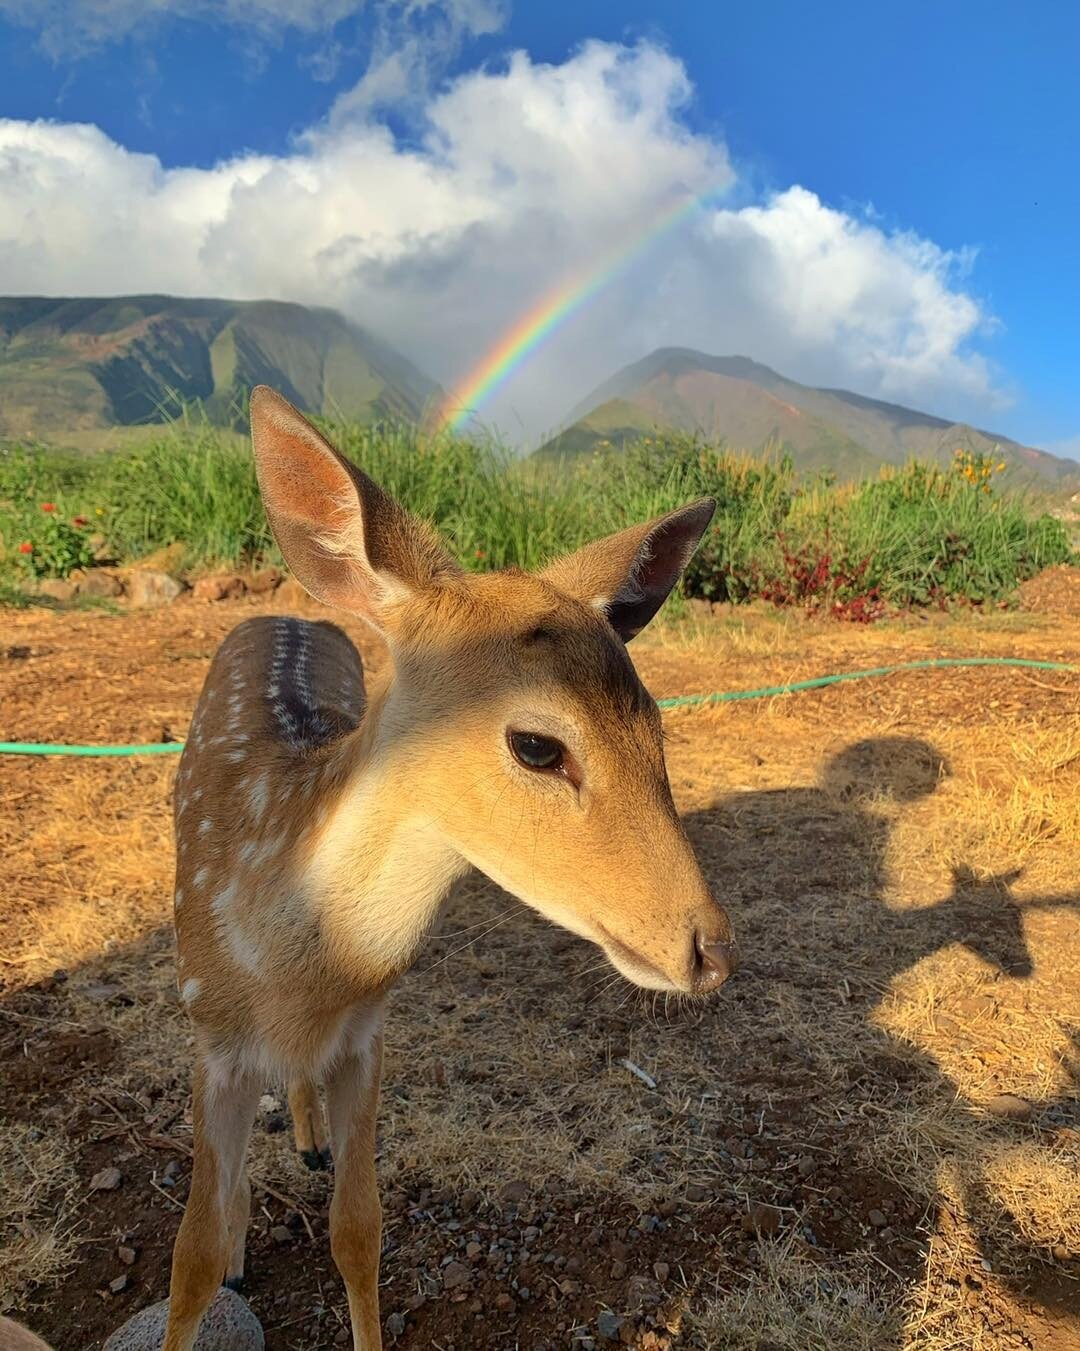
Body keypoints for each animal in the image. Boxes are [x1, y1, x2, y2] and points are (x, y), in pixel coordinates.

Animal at [164, 383, 740, 1351]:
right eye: (538, 744)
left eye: (655, 721)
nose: (708, 950)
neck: (300, 963)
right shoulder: (209, 1032)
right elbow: (193, 1255)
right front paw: (228, 1253)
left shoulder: (369, 1028)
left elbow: (359, 1227)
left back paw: (309, 1138)